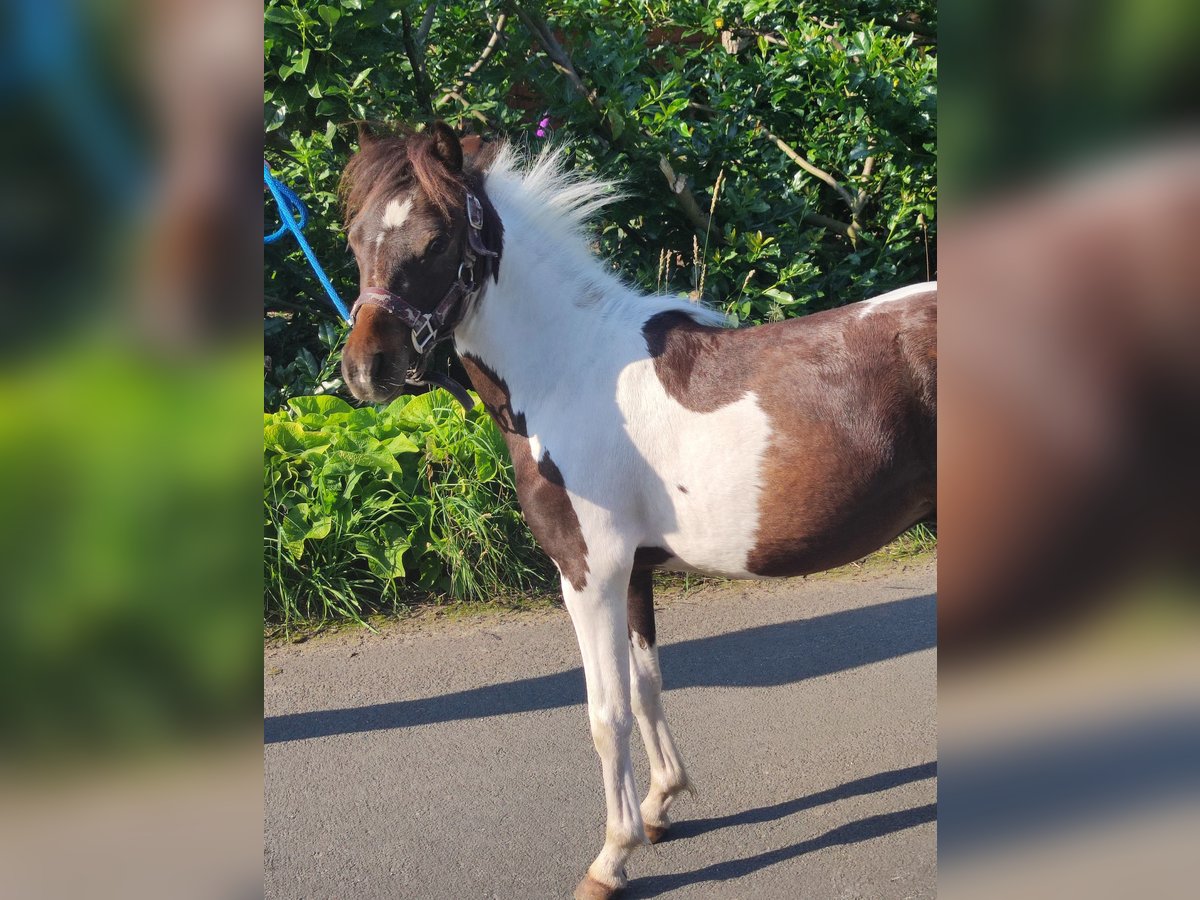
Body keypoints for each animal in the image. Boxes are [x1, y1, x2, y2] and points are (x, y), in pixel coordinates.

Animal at [338, 125, 936, 900]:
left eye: (437, 239)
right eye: (356, 236)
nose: (365, 370)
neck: (570, 371)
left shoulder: (588, 573)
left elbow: (607, 713)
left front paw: (611, 858)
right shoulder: (635, 574)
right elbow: (648, 686)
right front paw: (659, 806)